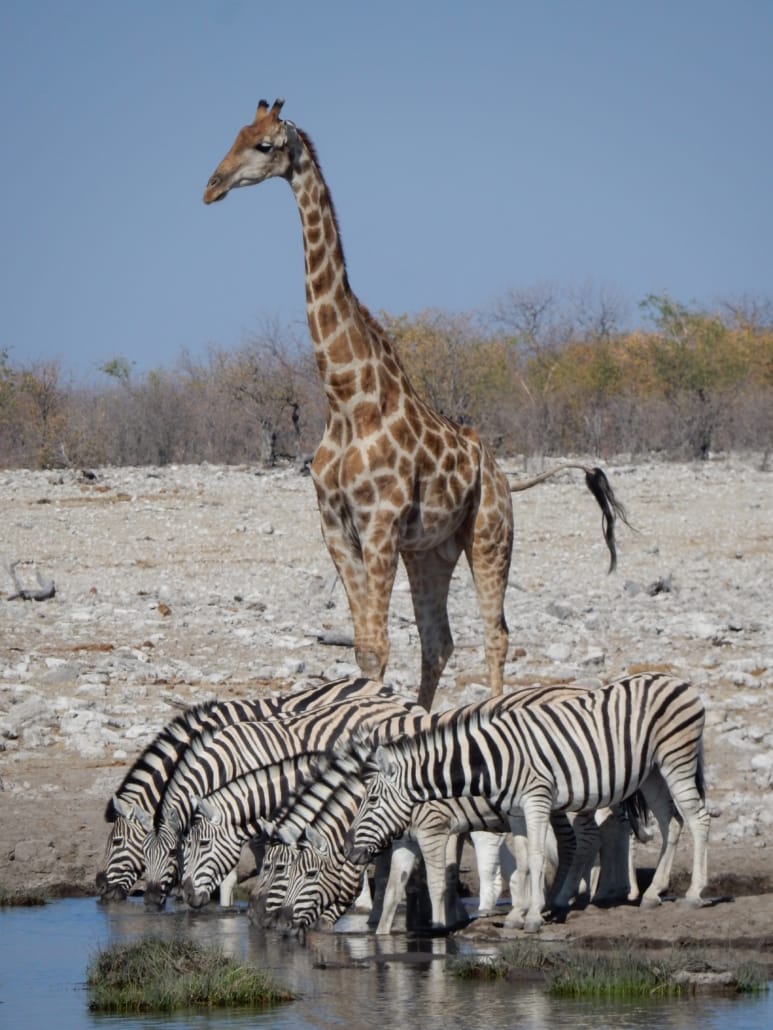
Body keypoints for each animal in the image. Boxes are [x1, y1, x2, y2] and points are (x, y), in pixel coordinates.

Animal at [203, 99, 625, 710]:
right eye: (234, 135)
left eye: (264, 145)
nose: (211, 187)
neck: (346, 400)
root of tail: (503, 475)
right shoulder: (336, 526)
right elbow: (365, 647)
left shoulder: (378, 523)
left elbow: (378, 647)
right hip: (431, 551)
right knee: (438, 639)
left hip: (490, 536)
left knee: (495, 633)